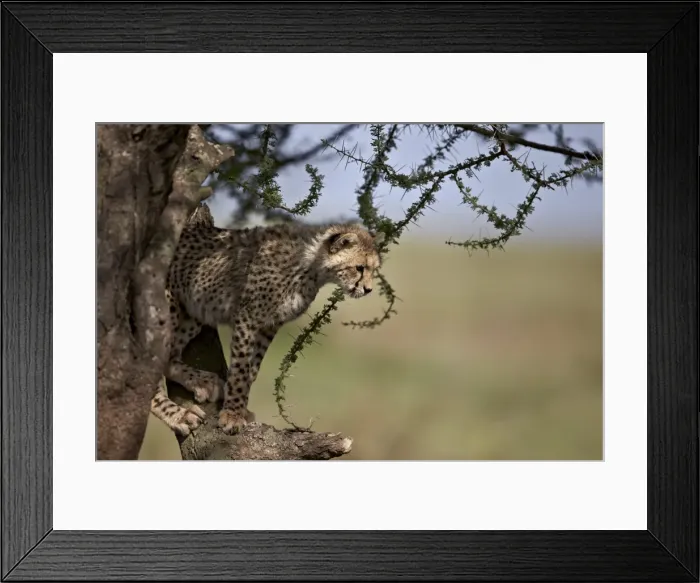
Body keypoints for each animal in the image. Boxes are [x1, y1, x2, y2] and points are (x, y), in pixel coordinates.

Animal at [149, 203, 383, 437]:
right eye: (359, 268)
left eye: (373, 269)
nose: (368, 289)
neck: (311, 264)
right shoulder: (248, 317)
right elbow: (241, 370)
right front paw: (232, 415)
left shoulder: (270, 326)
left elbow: (252, 369)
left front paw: (240, 409)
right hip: (167, 307)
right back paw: (178, 415)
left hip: (197, 307)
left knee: (168, 357)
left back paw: (201, 381)